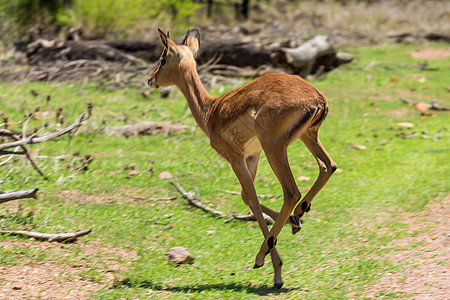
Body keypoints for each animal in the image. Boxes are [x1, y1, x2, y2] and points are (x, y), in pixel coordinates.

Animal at [149, 29, 338, 290]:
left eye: (162, 58)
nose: (151, 79)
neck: (211, 110)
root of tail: (318, 98)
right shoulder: (252, 156)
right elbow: (247, 198)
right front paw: (294, 225)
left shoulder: (235, 158)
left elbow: (252, 199)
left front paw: (275, 270)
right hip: (307, 137)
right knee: (328, 166)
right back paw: (298, 215)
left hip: (275, 148)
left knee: (291, 191)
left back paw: (262, 254)